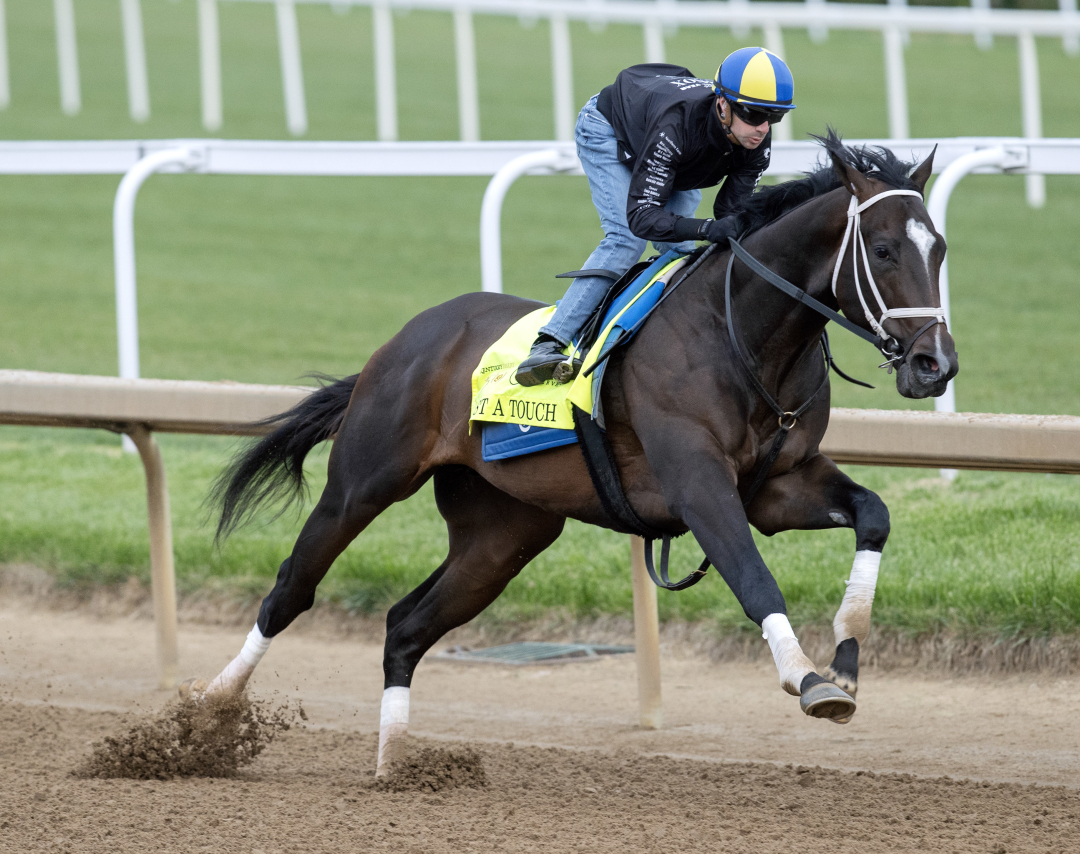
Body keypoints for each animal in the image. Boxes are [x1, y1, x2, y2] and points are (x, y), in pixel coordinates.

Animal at [194, 131, 954, 773]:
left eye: (940, 247)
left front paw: (847, 659)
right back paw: (206, 716)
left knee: (404, 626)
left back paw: (393, 765)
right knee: (291, 590)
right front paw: (807, 677)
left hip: (504, 532)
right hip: (363, 483)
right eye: (883, 250)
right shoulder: (697, 483)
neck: (740, 334)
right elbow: (752, 576)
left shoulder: (777, 485)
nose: (935, 365)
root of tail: (407, 338)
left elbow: (874, 514)